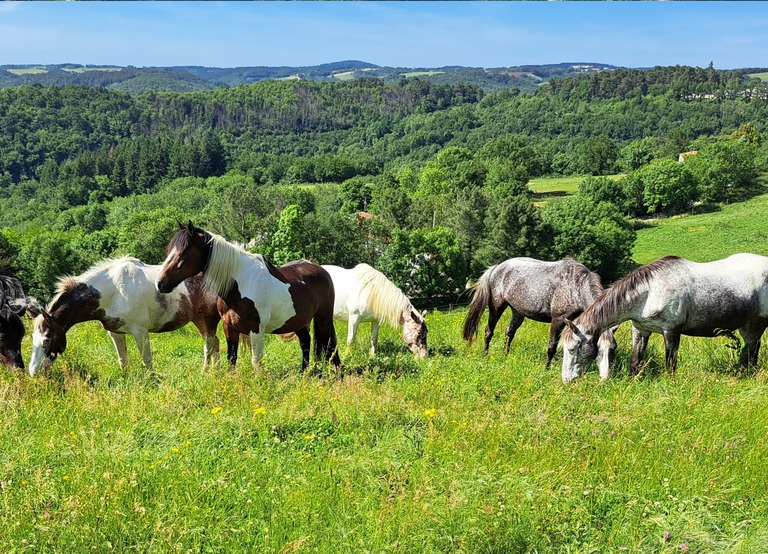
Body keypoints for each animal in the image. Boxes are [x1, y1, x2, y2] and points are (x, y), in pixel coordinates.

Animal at [28, 257, 221, 376]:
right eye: (32, 339)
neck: (114, 290)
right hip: (198, 318)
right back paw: (216, 371)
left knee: (209, 345)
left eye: (47, 339)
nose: (33, 372)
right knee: (215, 343)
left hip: (209, 317)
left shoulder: (140, 332)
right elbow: (123, 360)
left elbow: (147, 360)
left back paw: (205, 373)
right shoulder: (115, 332)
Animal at [155, 222, 340, 371]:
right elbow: (232, 358)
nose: (160, 283)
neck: (240, 286)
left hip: (323, 318)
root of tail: (322, 270)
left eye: (184, 253)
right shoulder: (229, 328)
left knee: (330, 344)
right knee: (305, 342)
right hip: (298, 321)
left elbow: (255, 361)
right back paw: (304, 373)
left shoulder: (256, 330)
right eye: (169, 250)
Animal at [463, 257, 617, 377]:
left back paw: (505, 355)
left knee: (509, 332)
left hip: (517, 312)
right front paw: (546, 369)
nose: (607, 376)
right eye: (599, 350)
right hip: (497, 307)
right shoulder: (558, 320)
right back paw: (485, 355)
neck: (577, 286)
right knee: (489, 331)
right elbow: (552, 346)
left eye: (613, 349)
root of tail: (496, 268)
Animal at [560, 253, 768, 383]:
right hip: (746, 324)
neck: (650, 291)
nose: (566, 381)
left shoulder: (671, 331)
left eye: (572, 349)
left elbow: (670, 363)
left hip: (757, 322)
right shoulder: (641, 330)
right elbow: (635, 361)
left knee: (752, 349)